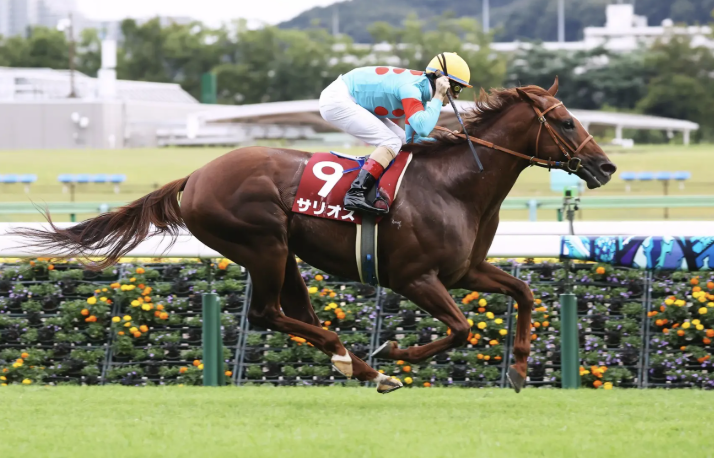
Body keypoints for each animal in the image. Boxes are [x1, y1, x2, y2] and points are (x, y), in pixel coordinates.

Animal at [13, 78, 616, 393]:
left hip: (284, 252)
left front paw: (518, 367)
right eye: (565, 122)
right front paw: (397, 348)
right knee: (268, 314)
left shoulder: (464, 269)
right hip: (262, 243)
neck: (454, 184)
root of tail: (197, 174)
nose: (605, 166)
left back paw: (356, 362)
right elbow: (463, 329)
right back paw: (364, 363)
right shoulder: (415, 278)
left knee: (297, 313)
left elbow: (525, 292)